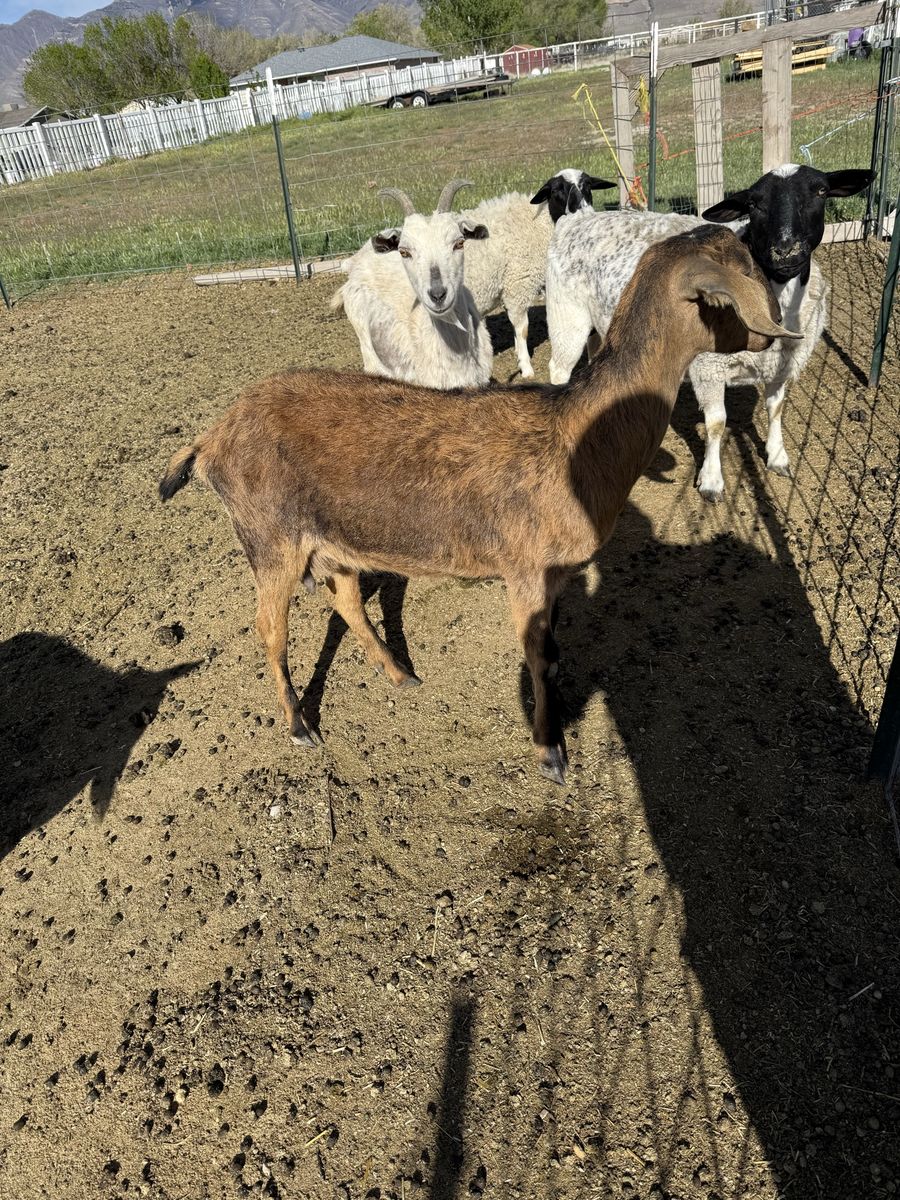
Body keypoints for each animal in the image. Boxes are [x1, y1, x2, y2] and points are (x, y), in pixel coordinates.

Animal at [160, 225, 798, 785]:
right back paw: (299, 725)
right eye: (743, 273)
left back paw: (400, 675)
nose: (779, 327)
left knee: (345, 600)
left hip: (331, 538)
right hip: (269, 538)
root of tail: (212, 437)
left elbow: (555, 653)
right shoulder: (525, 568)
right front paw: (550, 753)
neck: (579, 438)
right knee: (269, 626)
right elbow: (538, 657)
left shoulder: (555, 575)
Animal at [545, 165, 872, 500]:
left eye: (821, 191)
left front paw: (778, 456)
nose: (785, 250)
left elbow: (776, 408)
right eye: (753, 204)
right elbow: (717, 423)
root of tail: (576, 219)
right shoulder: (708, 367)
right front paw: (712, 481)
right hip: (565, 314)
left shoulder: (781, 365)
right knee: (558, 368)